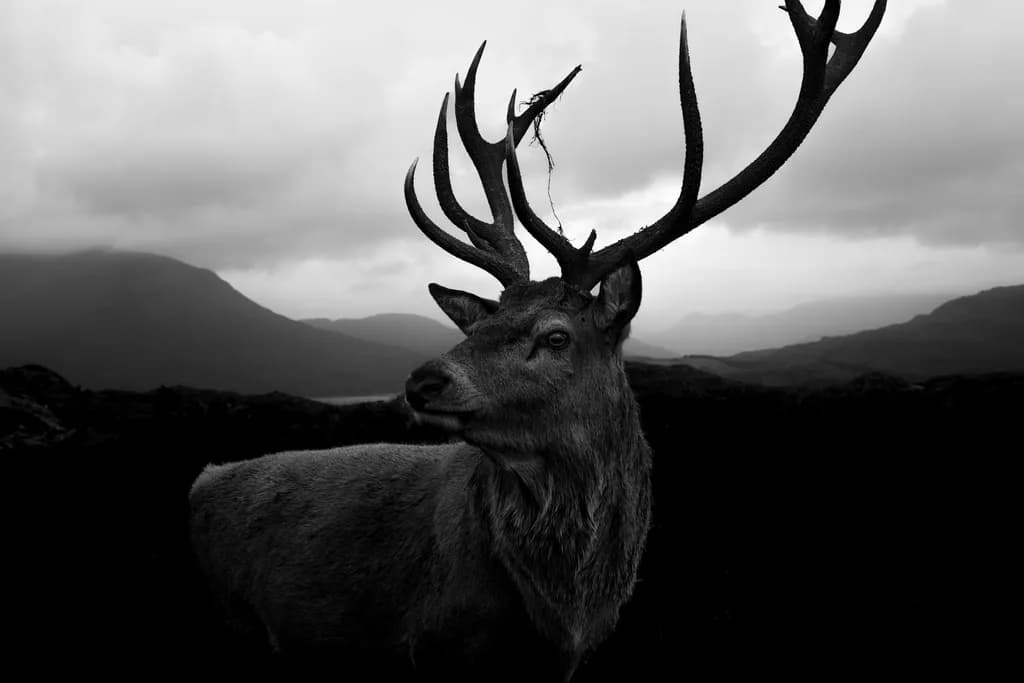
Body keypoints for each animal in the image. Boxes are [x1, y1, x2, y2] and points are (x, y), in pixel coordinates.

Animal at [189, 2, 885, 680]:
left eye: (555, 336)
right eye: (476, 325)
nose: (422, 381)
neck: (562, 617)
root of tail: (201, 482)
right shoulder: (432, 644)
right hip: (234, 624)